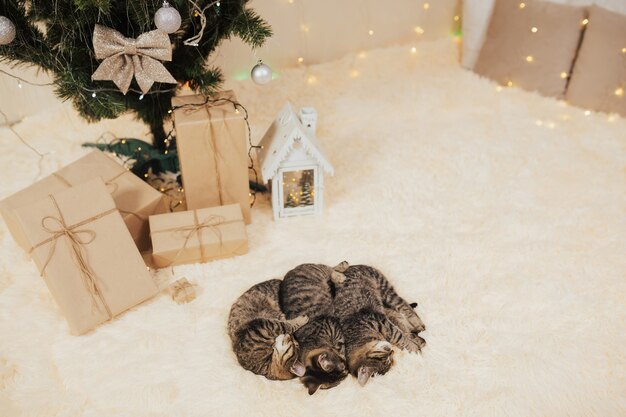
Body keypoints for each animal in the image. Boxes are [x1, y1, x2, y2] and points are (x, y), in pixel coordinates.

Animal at [280, 264, 348, 394]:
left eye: (343, 370)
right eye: (338, 382)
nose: (347, 373)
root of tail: (290, 271)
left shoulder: (334, 329)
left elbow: (340, 345)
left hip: (317, 271)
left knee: (329, 268)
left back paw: (340, 273)